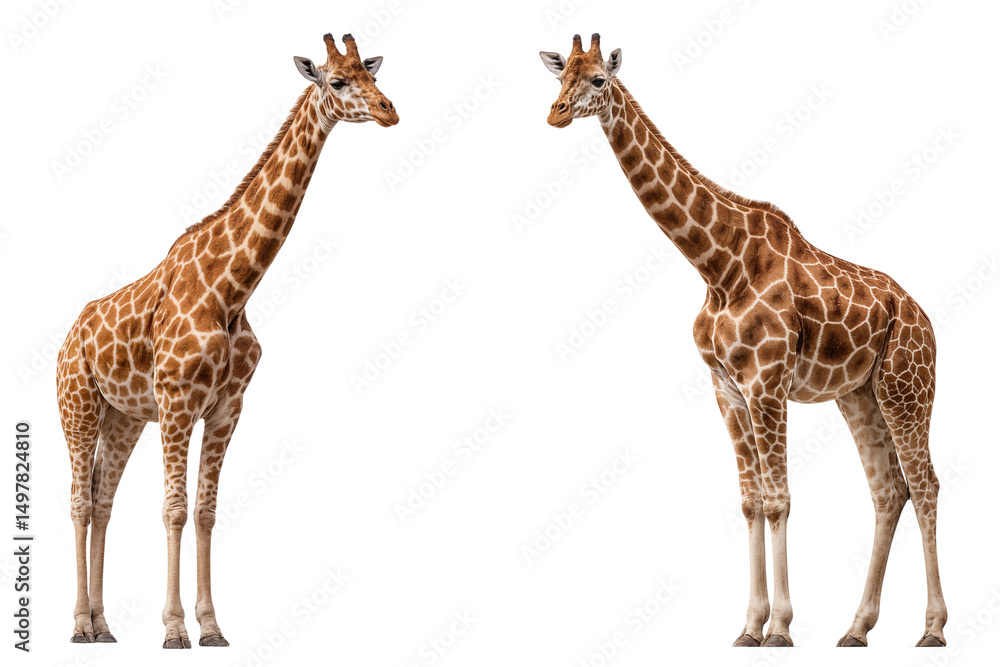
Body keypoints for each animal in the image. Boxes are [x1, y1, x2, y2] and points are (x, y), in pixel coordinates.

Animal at [56, 33, 397, 648]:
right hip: (78, 406)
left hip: (123, 418)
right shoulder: (176, 403)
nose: (389, 111)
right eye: (337, 81)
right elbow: (174, 507)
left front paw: (211, 626)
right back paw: (77, 625)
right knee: (77, 502)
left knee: (101, 499)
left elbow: (207, 510)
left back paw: (103, 625)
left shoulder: (225, 409)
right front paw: (173, 630)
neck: (231, 290)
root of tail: (69, 337)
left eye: (373, 74)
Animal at [540, 34, 946, 647]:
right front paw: (749, 626)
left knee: (925, 485)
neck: (717, 267)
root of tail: (926, 321)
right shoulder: (727, 389)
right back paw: (856, 628)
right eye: (560, 75)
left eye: (598, 80)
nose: (556, 114)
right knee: (888, 489)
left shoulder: (767, 382)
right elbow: (751, 502)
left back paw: (933, 629)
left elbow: (778, 501)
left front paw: (779, 628)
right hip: (860, 395)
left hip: (907, 388)